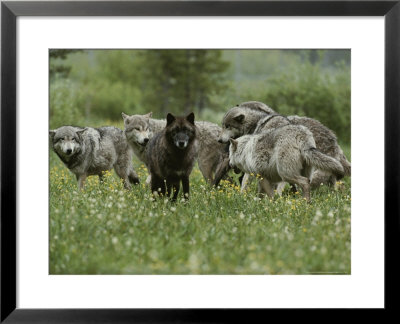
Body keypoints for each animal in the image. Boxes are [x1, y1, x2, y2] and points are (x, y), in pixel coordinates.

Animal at [217, 100, 352, 189]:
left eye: (227, 126)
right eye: (223, 125)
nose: (219, 140)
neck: (255, 123)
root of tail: (334, 139)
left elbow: (245, 182)